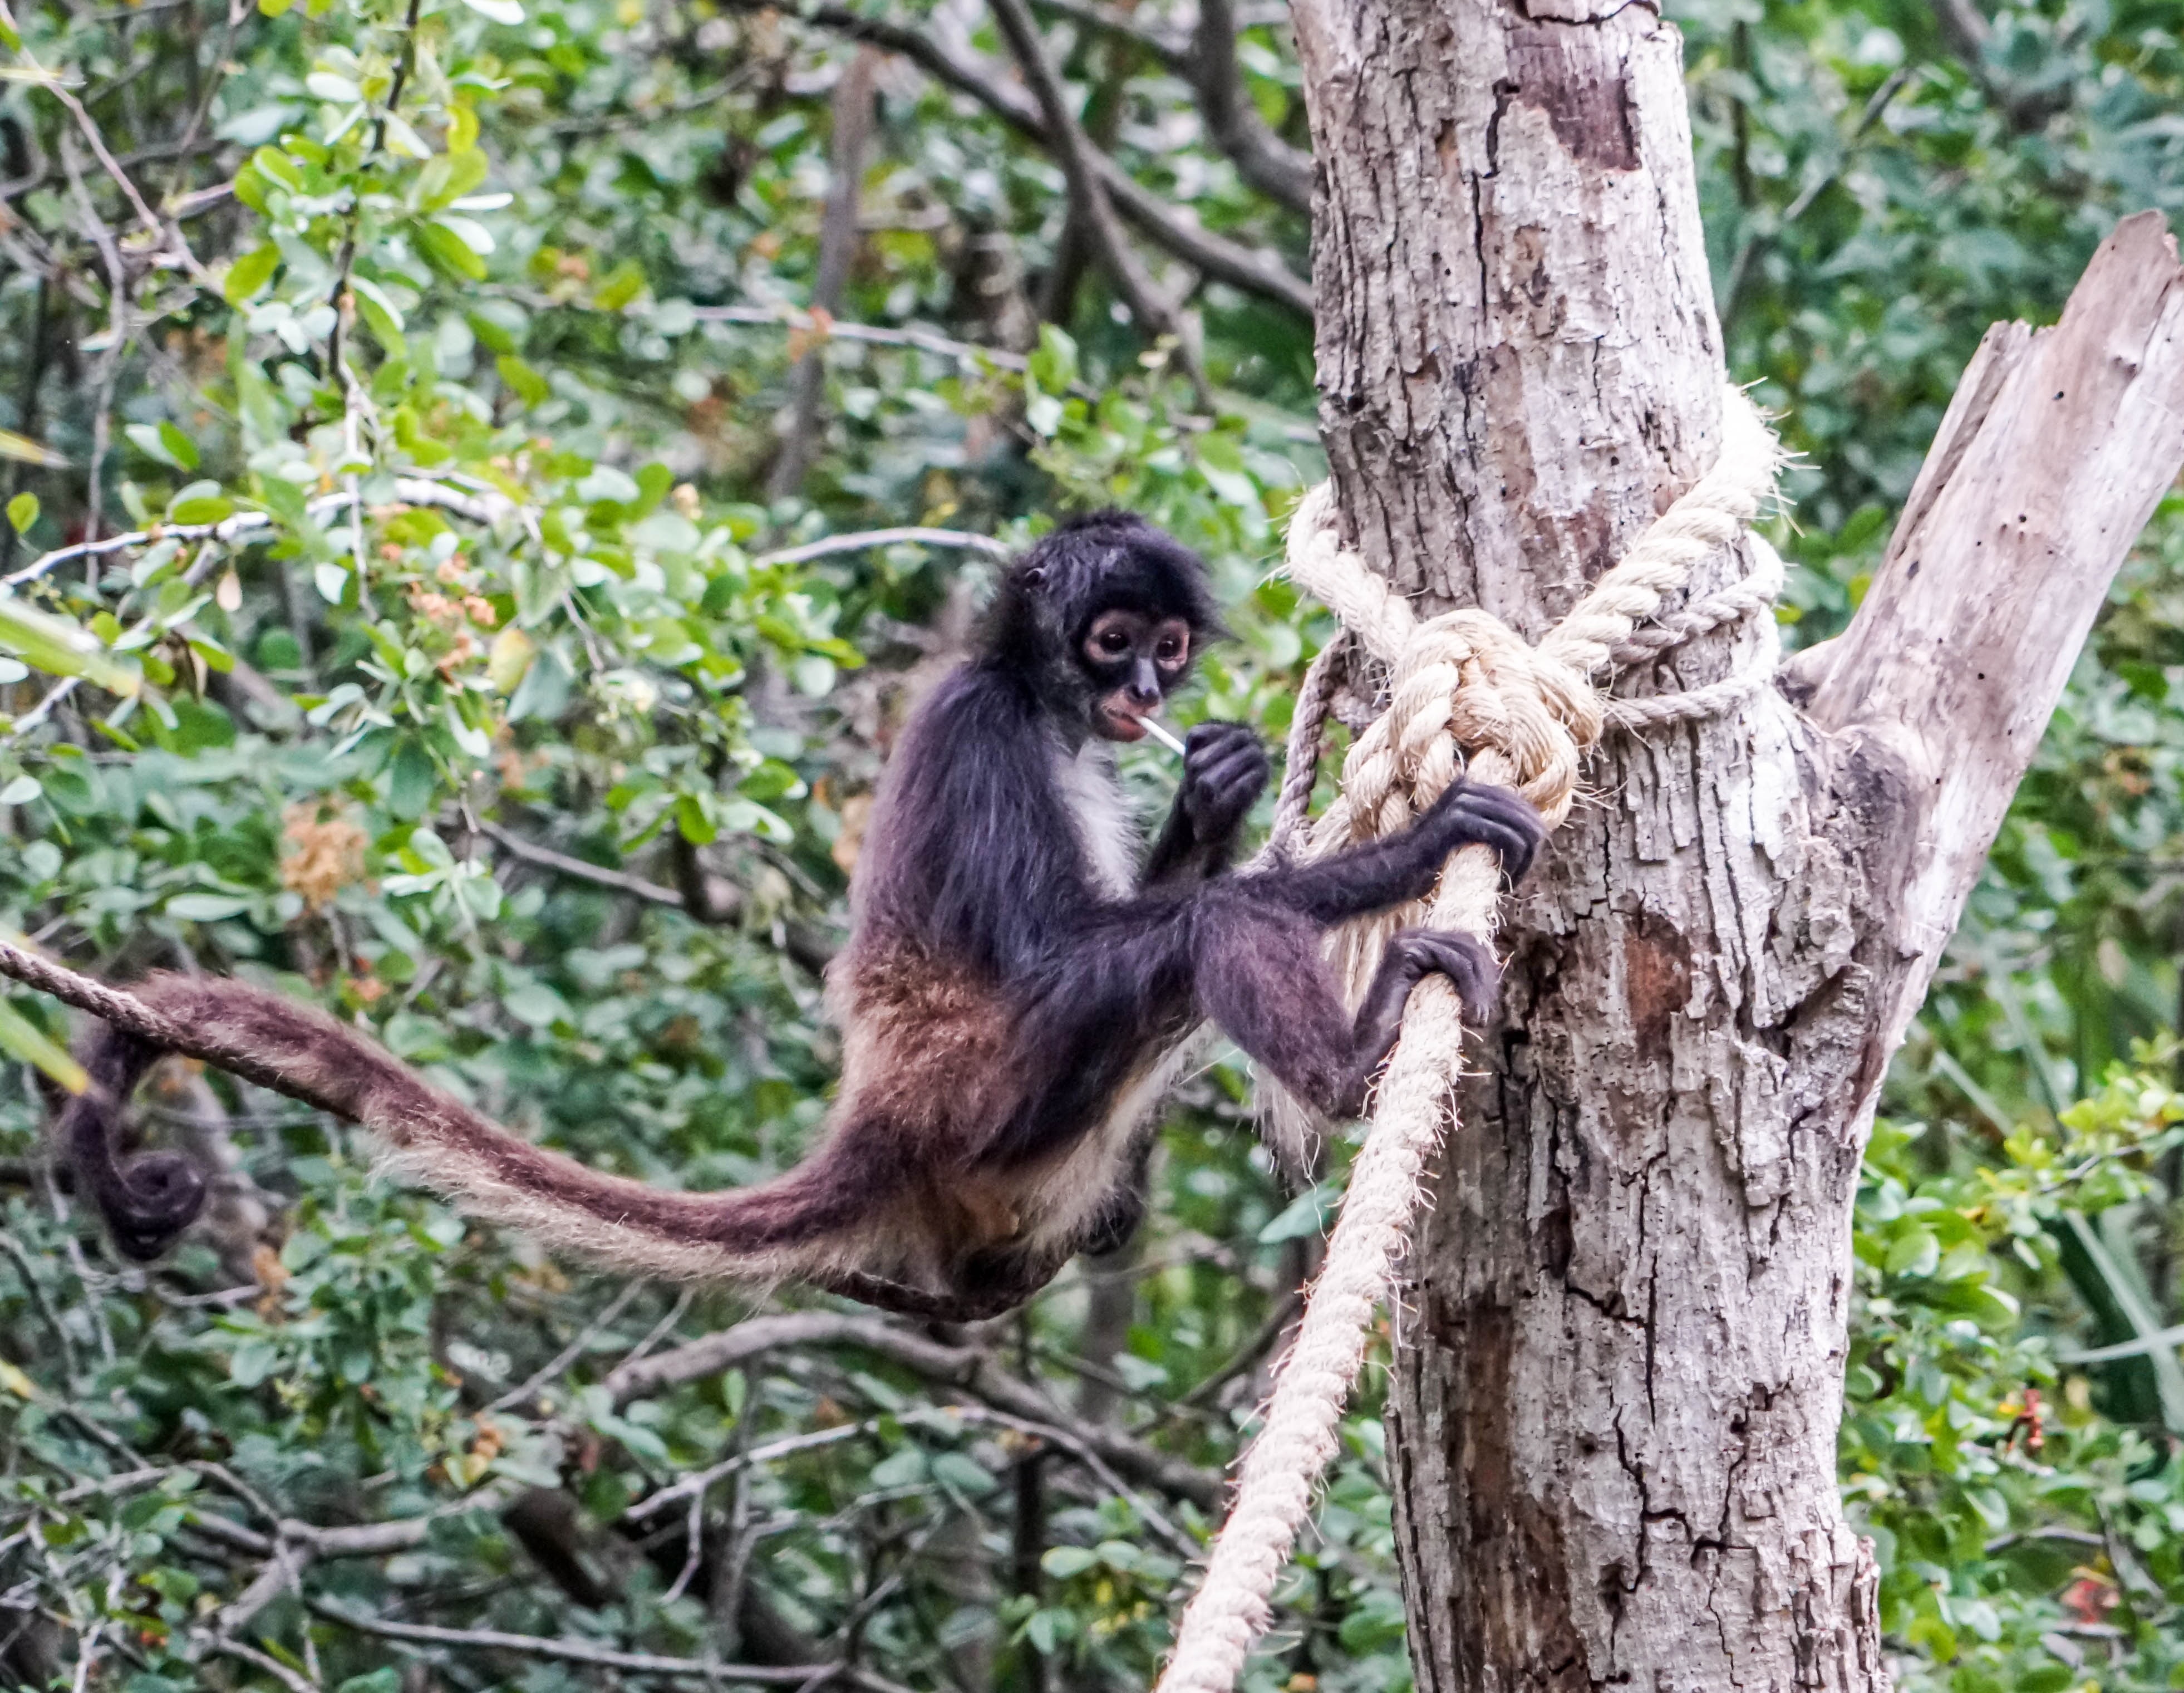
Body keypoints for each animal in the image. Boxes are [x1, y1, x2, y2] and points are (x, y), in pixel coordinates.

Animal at [55, 516, 1555, 1328]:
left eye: (1166, 650)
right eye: (1110, 638)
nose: (1142, 692)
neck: (1040, 700)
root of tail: (879, 1114)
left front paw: (1216, 785)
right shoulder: (982, 728)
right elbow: (1083, 946)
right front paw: (1406, 846)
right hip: (987, 1097)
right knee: (1198, 940)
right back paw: (1358, 1062)